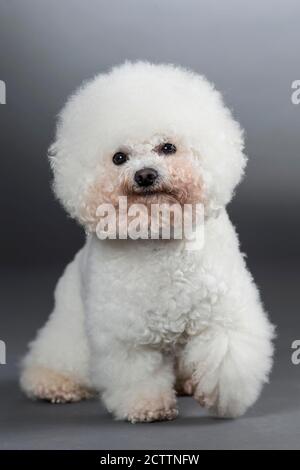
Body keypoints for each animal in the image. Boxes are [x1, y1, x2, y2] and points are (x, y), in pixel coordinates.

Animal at [20, 61, 274, 422]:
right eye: (119, 158)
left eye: (167, 147)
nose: (145, 175)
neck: (158, 237)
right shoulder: (126, 334)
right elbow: (137, 372)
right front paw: (147, 407)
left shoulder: (223, 314)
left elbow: (225, 356)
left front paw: (221, 397)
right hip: (70, 321)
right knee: (59, 354)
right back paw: (53, 383)